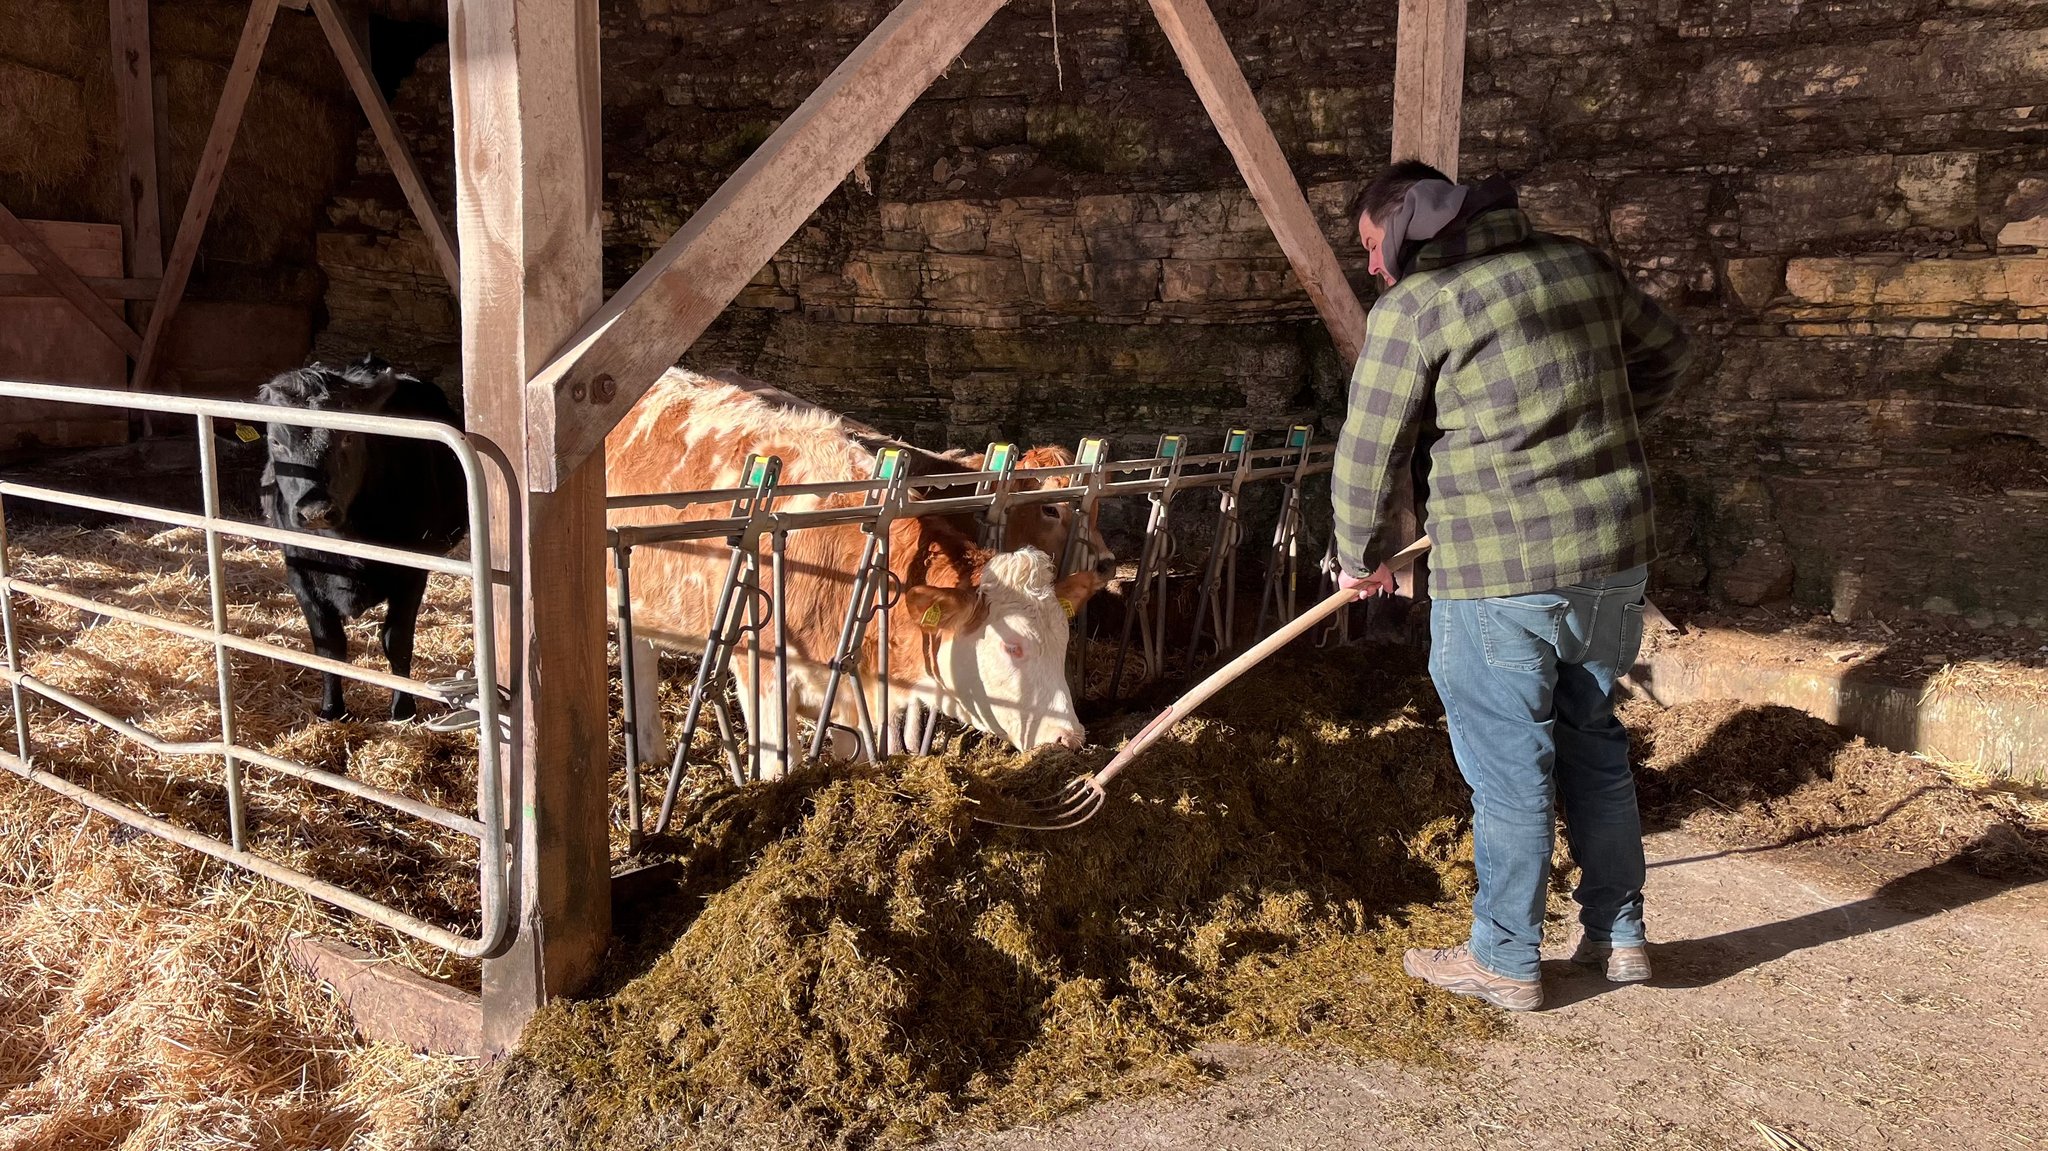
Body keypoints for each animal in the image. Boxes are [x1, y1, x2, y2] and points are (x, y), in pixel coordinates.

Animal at [256, 354, 468, 720]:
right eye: (276, 441)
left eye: (348, 437)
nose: (314, 511)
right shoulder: (299, 572)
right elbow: (328, 645)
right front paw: (331, 709)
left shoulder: (411, 572)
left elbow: (396, 640)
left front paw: (402, 709)